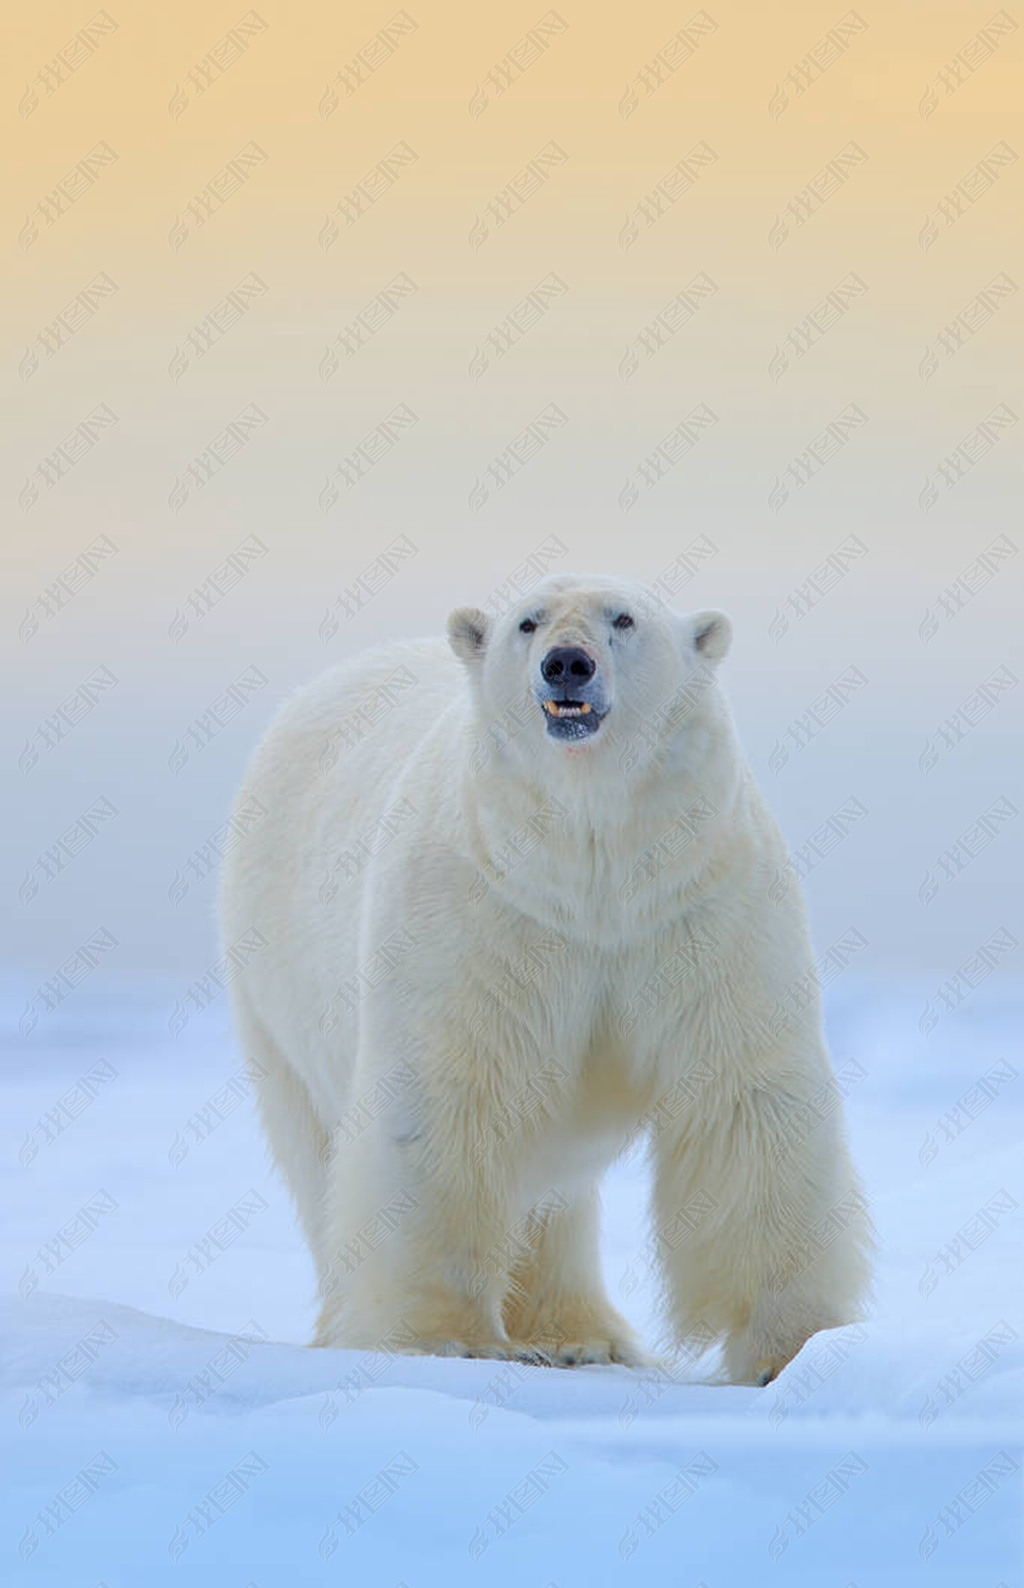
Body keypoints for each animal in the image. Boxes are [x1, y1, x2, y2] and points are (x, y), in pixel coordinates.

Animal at [219, 578, 863, 1384]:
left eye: (624, 618)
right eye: (528, 622)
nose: (567, 664)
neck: (593, 865)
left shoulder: (699, 901)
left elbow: (742, 1095)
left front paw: (792, 1347)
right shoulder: (485, 907)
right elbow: (448, 1095)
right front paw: (445, 1338)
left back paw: (580, 1337)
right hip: (274, 994)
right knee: (322, 1154)